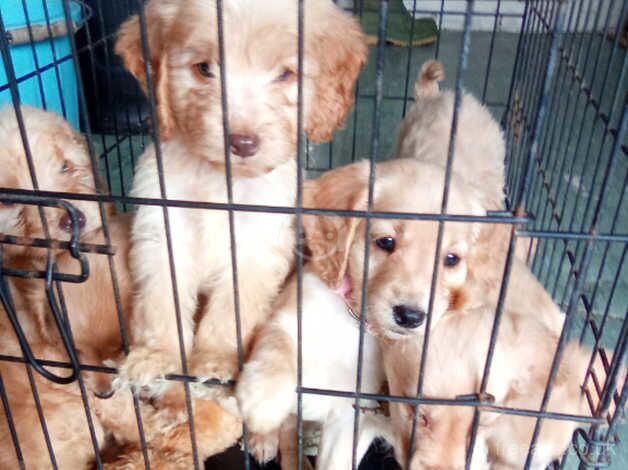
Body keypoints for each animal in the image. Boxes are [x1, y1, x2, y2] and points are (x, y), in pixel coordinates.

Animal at [114, 0, 368, 400]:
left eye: (285, 74)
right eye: (204, 69)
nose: (243, 142)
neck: (221, 180)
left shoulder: (256, 246)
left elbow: (232, 308)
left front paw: (215, 363)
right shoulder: (164, 230)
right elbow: (160, 297)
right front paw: (157, 357)